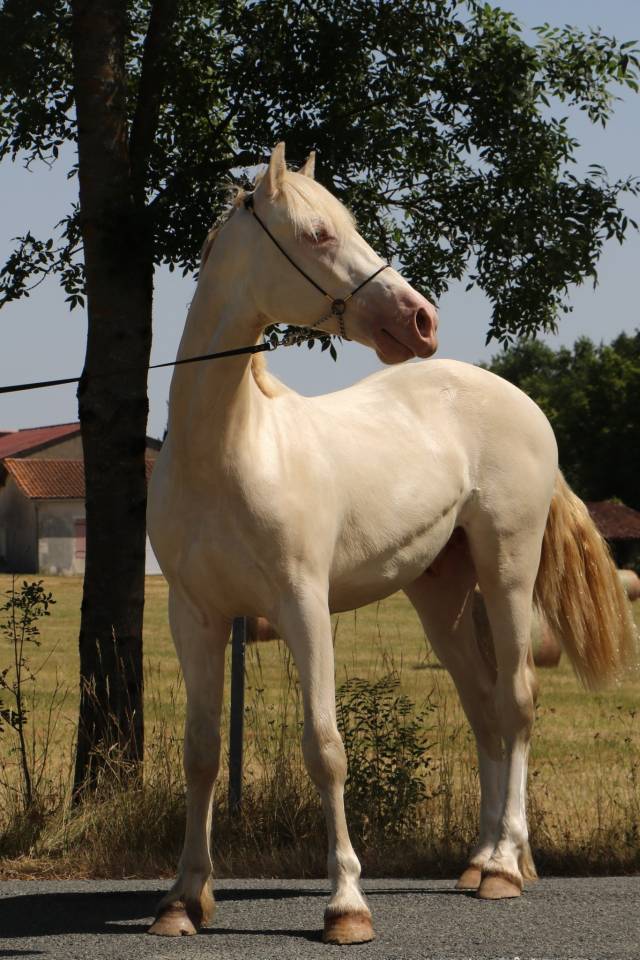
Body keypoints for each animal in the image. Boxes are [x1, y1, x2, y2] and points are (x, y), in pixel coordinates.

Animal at [147, 142, 636, 944]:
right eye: (318, 233)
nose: (420, 317)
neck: (230, 450)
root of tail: (523, 403)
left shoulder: (303, 607)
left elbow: (326, 748)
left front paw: (346, 903)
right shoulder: (195, 617)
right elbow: (201, 754)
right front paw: (184, 900)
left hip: (507, 569)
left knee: (517, 702)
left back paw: (505, 868)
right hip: (441, 595)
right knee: (484, 708)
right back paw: (481, 860)